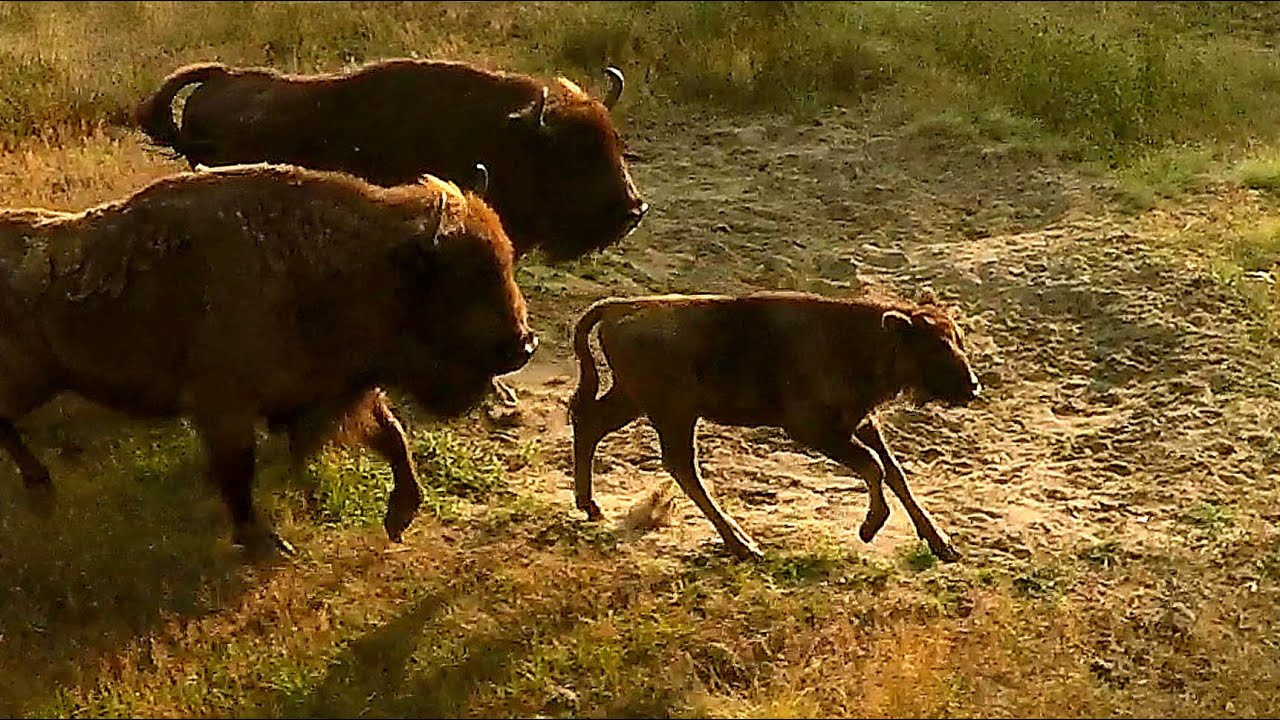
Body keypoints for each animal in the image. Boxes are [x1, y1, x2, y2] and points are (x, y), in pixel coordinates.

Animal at [0, 162, 537, 556]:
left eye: (505, 261)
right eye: (467, 278)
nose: (524, 345)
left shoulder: (338, 389)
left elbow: (391, 435)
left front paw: (400, 517)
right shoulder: (225, 408)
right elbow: (240, 473)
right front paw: (264, 543)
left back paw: (40, 486)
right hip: (30, 383)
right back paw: (40, 483)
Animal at [568, 289, 977, 561]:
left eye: (958, 339)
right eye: (938, 344)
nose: (973, 385)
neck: (859, 339)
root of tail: (619, 308)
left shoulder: (861, 423)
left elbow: (895, 473)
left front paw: (943, 544)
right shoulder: (814, 429)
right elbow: (874, 467)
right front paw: (869, 527)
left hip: (637, 402)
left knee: (591, 424)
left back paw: (591, 507)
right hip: (673, 413)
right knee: (681, 466)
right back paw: (744, 545)